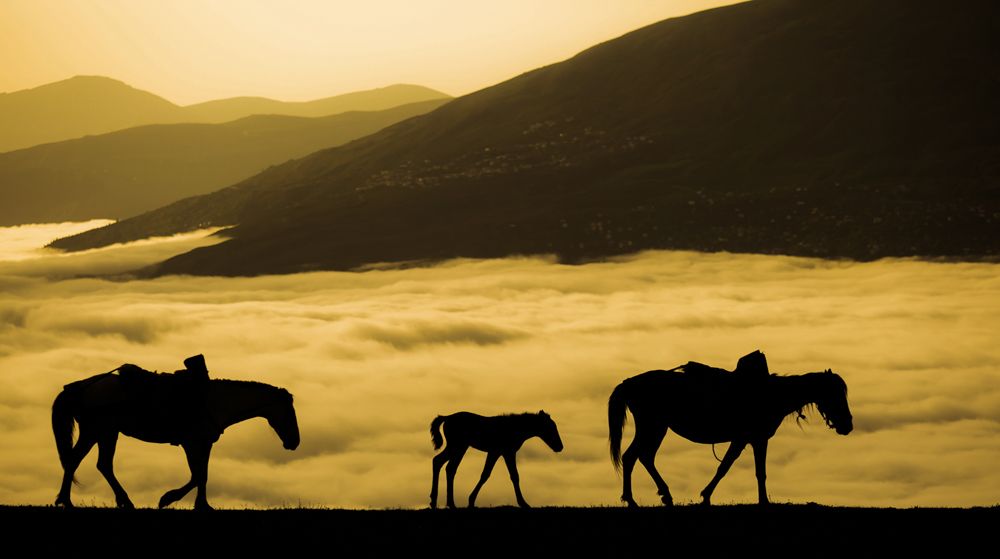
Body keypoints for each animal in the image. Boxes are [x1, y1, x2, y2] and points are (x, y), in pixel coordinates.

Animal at [52, 369, 299, 510]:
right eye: (289, 411)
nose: (294, 442)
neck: (214, 401)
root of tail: (79, 387)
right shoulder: (192, 443)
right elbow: (198, 475)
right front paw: (168, 499)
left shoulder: (204, 443)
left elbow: (202, 475)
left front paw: (202, 505)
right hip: (97, 431)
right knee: (79, 461)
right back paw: (70, 501)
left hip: (106, 433)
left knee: (96, 463)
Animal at [429, 411, 564, 509]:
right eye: (550, 427)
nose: (560, 446)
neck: (514, 429)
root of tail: (447, 417)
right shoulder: (503, 452)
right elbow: (508, 475)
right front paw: (523, 503)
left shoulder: (499, 453)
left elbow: (490, 474)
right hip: (458, 446)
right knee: (445, 465)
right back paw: (447, 503)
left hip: (458, 447)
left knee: (443, 464)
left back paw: (440, 502)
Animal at [608, 364, 852, 507]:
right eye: (835, 394)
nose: (848, 425)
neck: (771, 394)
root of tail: (628, 383)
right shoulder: (752, 438)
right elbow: (743, 469)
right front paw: (761, 502)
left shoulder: (749, 439)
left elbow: (738, 468)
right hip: (653, 426)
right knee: (634, 456)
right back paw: (635, 500)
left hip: (655, 428)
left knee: (641, 457)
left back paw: (658, 497)